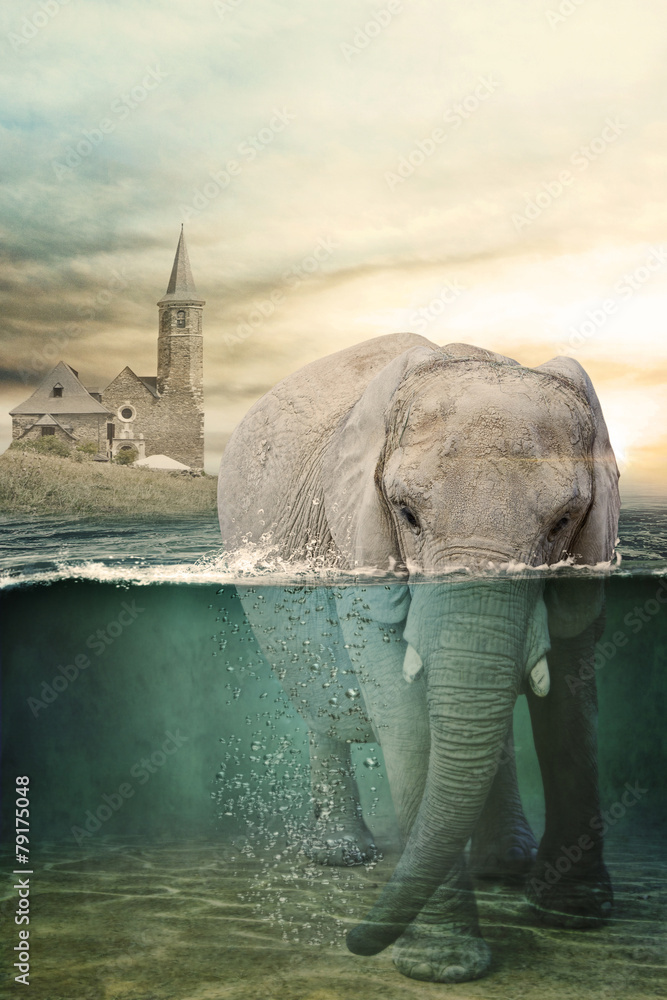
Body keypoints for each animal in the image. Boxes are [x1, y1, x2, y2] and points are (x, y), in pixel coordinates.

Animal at [217, 332, 620, 983]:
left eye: (563, 520)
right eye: (406, 513)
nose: (354, 941)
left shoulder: (589, 558)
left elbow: (571, 701)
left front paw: (574, 914)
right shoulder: (358, 545)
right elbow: (401, 710)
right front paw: (443, 963)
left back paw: (505, 867)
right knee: (323, 717)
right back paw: (343, 857)